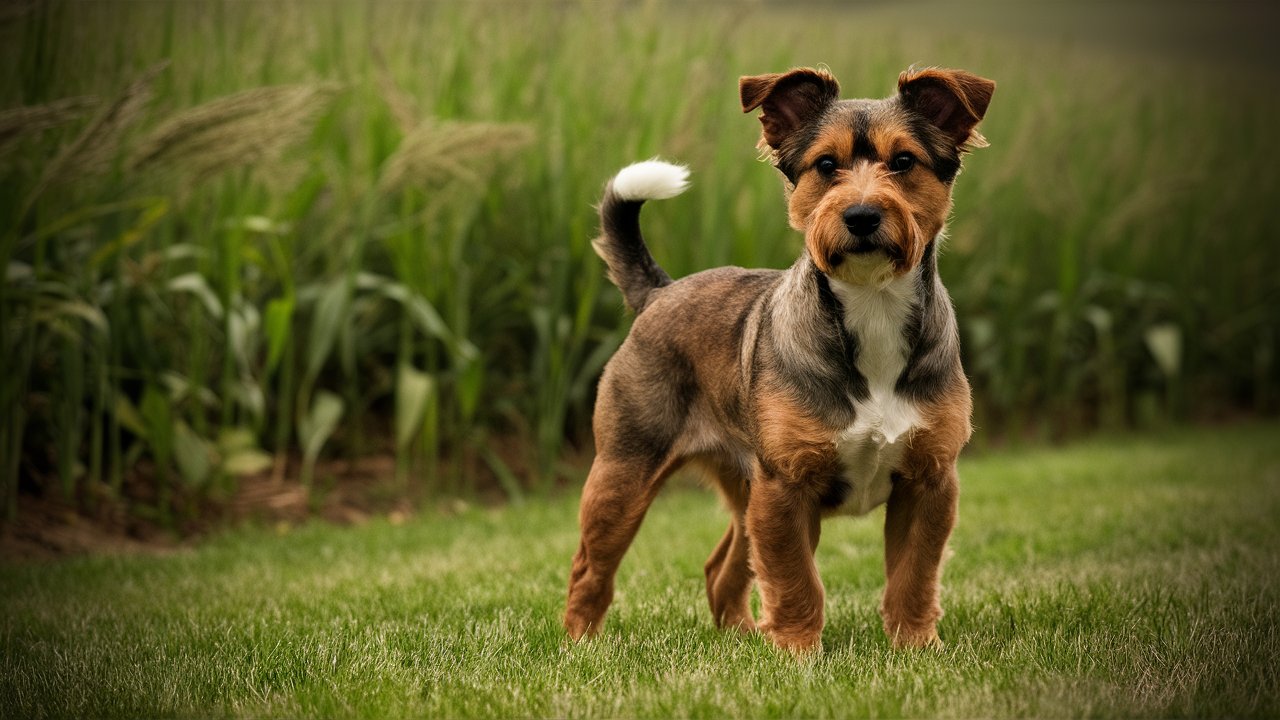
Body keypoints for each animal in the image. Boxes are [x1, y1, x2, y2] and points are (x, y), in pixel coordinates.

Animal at [565, 67, 993, 650]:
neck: (872, 310)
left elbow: (914, 575)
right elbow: (794, 577)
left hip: (738, 486)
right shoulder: (786, 487)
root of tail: (660, 292)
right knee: (590, 570)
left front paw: (914, 646)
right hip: (624, 473)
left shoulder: (929, 482)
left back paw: (743, 638)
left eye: (904, 161)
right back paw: (579, 646)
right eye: (826, 165)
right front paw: (796, 650)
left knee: (719, 570)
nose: (861, 215)